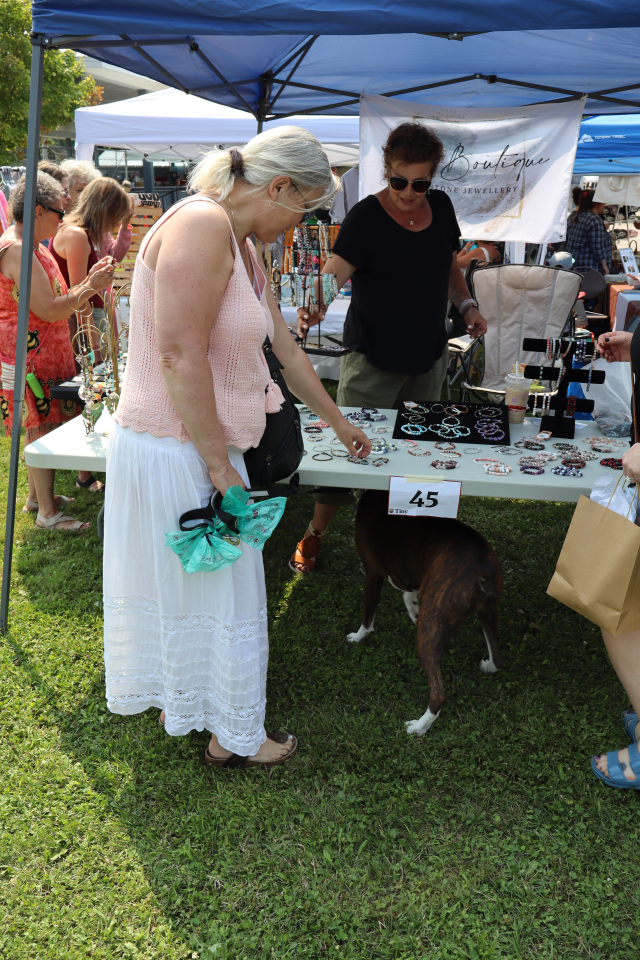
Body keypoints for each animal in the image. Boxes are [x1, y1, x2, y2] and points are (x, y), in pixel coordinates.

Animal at [348, 492, 502, 732]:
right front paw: (414, 610)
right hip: (488, 613)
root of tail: (482, 569)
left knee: (439, 694)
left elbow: (368, 616)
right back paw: (488, 666)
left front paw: (358, 636)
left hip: (428, 635)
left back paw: (418, 727)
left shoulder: (373, 573)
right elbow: (407, 594)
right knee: (496, 656)